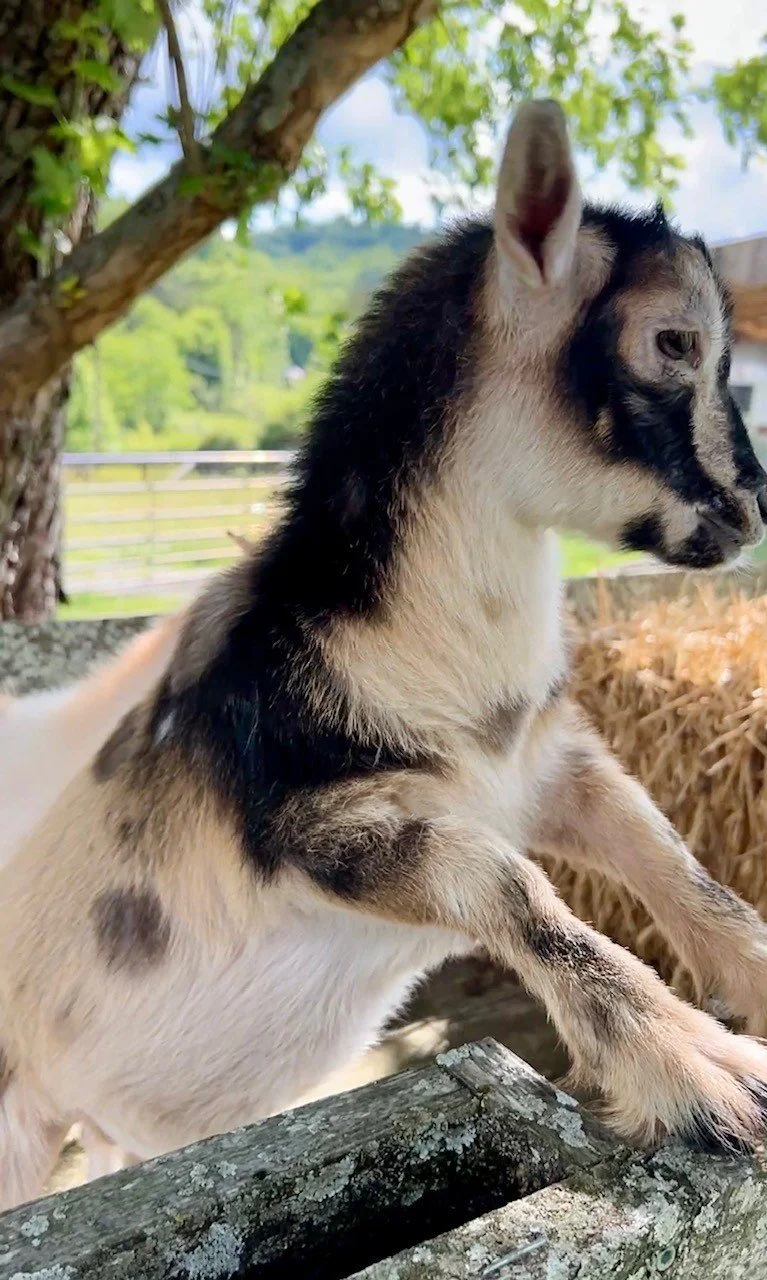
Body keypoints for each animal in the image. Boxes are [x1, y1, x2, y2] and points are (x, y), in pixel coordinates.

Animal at [3, 100, 767, 1211]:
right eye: (673, 339)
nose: (751, 512)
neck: (392, 649)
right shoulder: (317, 828)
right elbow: (509, 887)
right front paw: (703, 1073)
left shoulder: (547, 769)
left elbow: (676, 864)